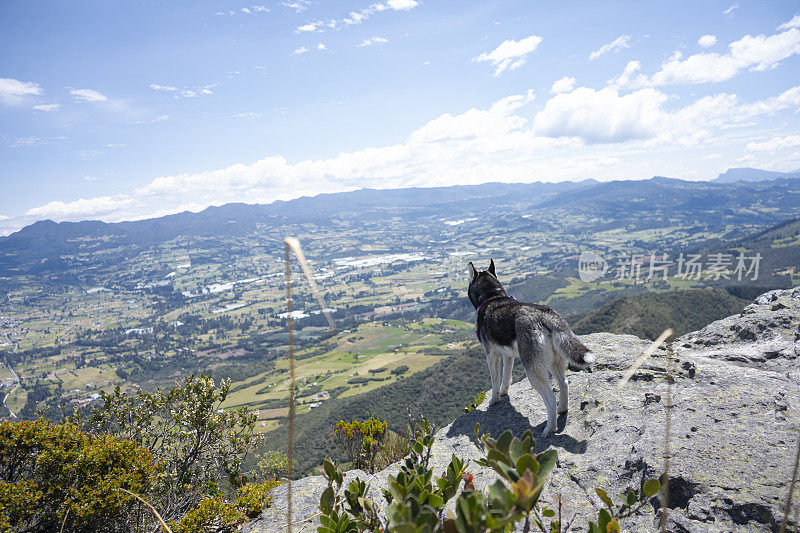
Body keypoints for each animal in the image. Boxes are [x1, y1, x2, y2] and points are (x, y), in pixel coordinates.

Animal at [468, 258, 592, 436]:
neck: (492, 297)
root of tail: (546, 316)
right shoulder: (508, 356)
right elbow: (506, 377)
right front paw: (504, 392)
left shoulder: (491, 355)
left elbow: (495, 381)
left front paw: (494, 400)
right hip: (555, 361)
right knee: (564, 383)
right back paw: (562, 409)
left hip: (533, 370)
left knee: (550, 398)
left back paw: (549, 429)